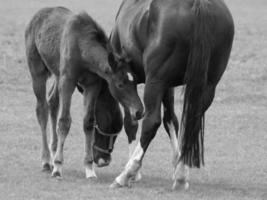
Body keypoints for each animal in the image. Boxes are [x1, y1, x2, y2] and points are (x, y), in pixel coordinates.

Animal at [24, 6, 144, 178]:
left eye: (135, 82)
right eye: (120, 84)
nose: (139, 111)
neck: (82, 45)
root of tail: (39, 14)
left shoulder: (92, 85)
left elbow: (88, 122)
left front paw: (89, 168)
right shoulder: (68, 82)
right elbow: (64, 121)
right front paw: (58, 167)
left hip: (57, 74)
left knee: (53, 102)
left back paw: (53, 154)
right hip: (38, 72)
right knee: (42, 110)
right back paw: (47, 161)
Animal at [109, 0, 234, 189]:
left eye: (119, 84)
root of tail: (198, 4)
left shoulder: (138, 85)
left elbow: (131, 122)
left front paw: (134, 173)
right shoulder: (167, 87)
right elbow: (171, 120)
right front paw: (177, 165)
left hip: (155, 82)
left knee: (151, 122)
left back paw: (126, 174)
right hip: (207, 87)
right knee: (191, 124)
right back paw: (181, 175)